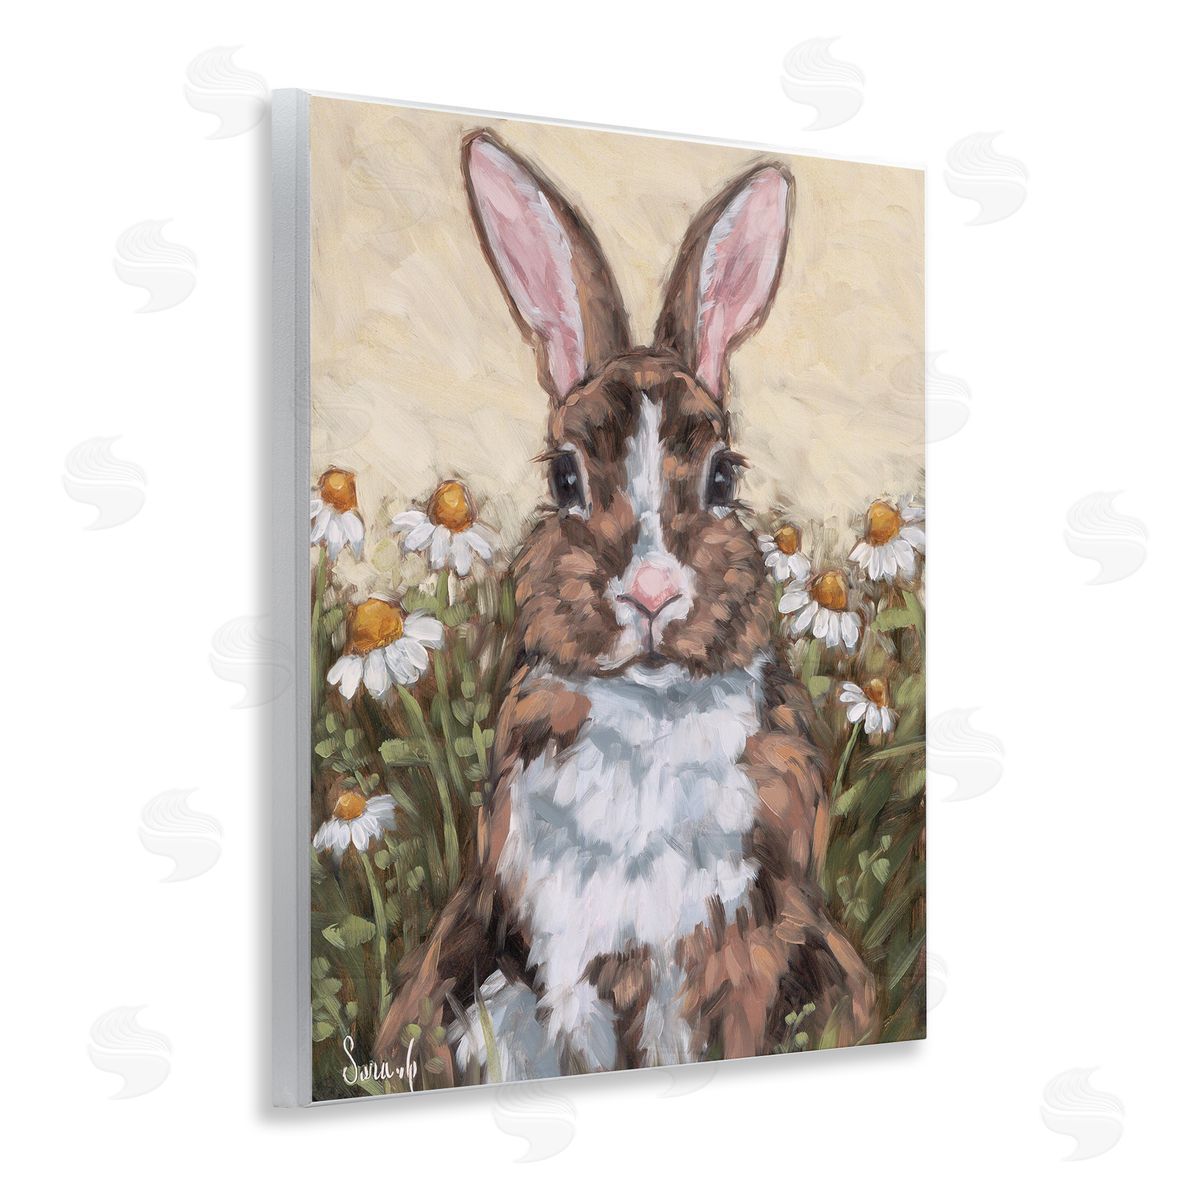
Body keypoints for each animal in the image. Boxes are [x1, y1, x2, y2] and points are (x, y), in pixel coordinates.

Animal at [374, 130, 877, 1081]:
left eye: (724, 478)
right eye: (566, 479)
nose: (651, 594)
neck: (651, 713)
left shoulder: (740, 953)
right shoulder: (570, 962)